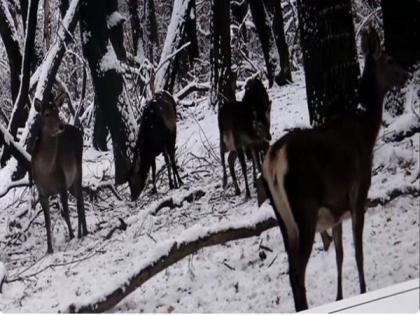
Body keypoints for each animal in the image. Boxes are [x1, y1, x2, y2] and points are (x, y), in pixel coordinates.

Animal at [31, 101, 88, 254]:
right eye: (46, 114)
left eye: (57, 111)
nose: (61, 126)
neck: (46, 171)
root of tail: (77, 130)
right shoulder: (42, 193)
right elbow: (47, 221)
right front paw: (49, 249)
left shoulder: (62, 183)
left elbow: (66, 213)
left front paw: (72, 236)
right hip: (71, 184)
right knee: (79, 197)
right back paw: (82, 232)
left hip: (78, 169)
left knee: (80, 200)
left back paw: (83, 232)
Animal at [256, 27, 410, 314]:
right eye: (389, 59)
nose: (407, 73)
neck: (367, 131)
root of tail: (273, 160)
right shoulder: (358, 192)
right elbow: (358, 251)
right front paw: (363, 290)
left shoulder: (336, 209)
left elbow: (339, 254)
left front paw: (340, 297)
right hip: (304, 209)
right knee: (297, 273)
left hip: (282, 218)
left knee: (292, 269)